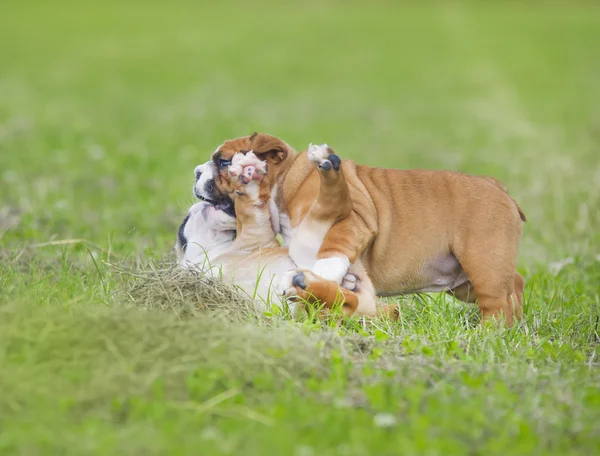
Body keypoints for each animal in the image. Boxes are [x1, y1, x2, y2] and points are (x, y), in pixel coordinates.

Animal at [192, 134, 524, 326]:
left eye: (224, 162)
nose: (196, 172)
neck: (288, 183)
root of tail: (497, 186)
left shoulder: (354, 219)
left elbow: (332, 249)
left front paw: (319, 278)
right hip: (465, 280)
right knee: (514, 286)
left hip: (483, 259)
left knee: (497, 302)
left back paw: (490, 332)